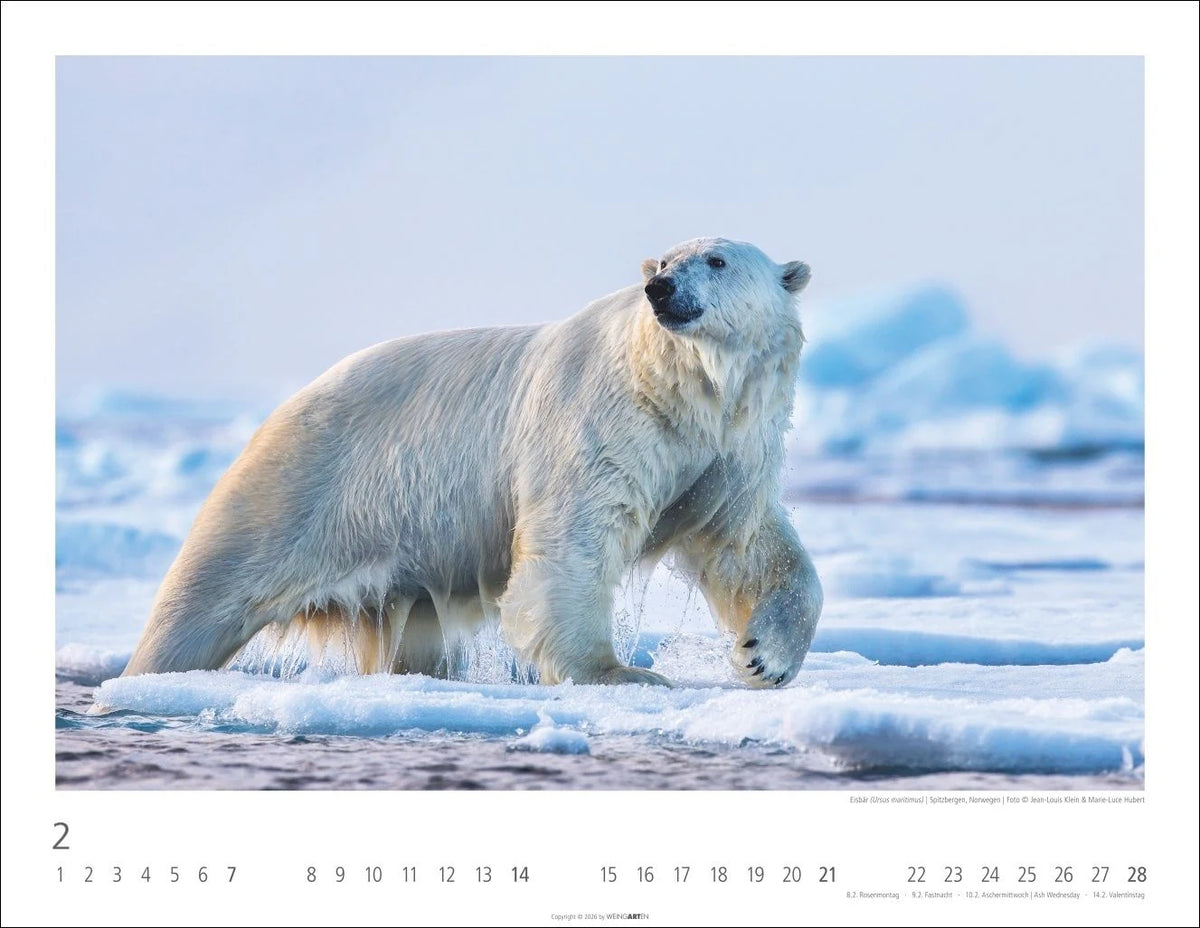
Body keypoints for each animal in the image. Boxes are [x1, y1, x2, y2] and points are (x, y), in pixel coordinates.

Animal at [121, 237, 823, 687]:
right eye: (668, 258)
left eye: (718, 259)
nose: (661, 287)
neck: (677, 386)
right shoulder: (602, 420)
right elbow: (576, 539)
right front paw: (620, 672)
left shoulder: (724, 449)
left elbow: (745, 545)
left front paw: (762, 657)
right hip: (294, 488)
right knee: (201, 600)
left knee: (411, 631)